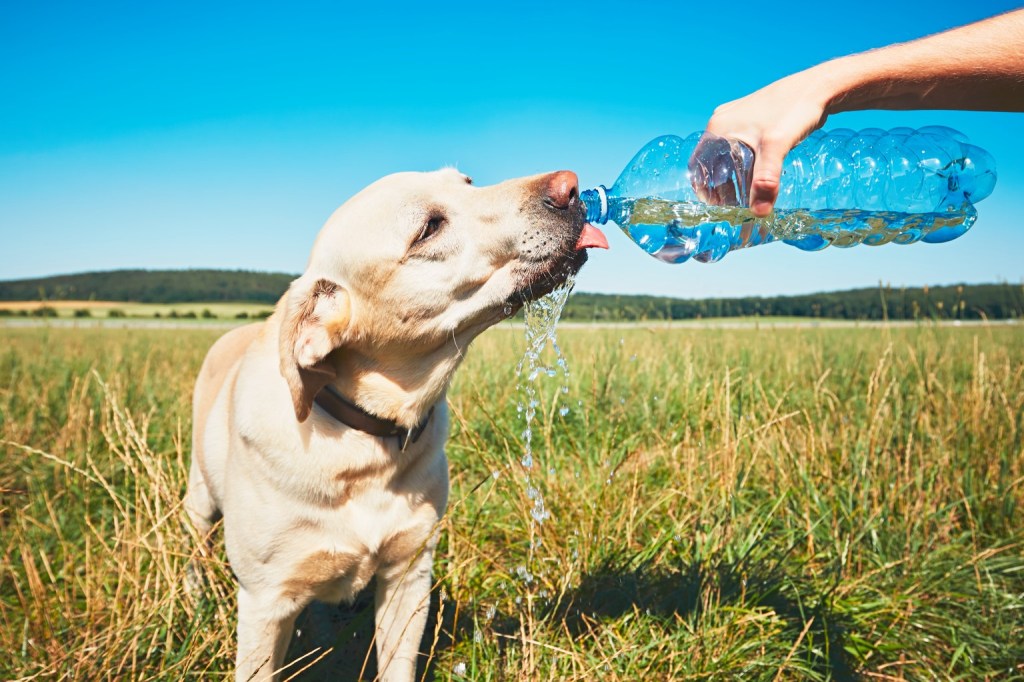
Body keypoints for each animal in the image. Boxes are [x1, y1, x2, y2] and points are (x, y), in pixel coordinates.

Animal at [185, 165, 606, 679]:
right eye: (428, 228)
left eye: (467, 182)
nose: (571, 185)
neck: (364, 441)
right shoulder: (265, 602)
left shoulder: (409, 575)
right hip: (199, 500)